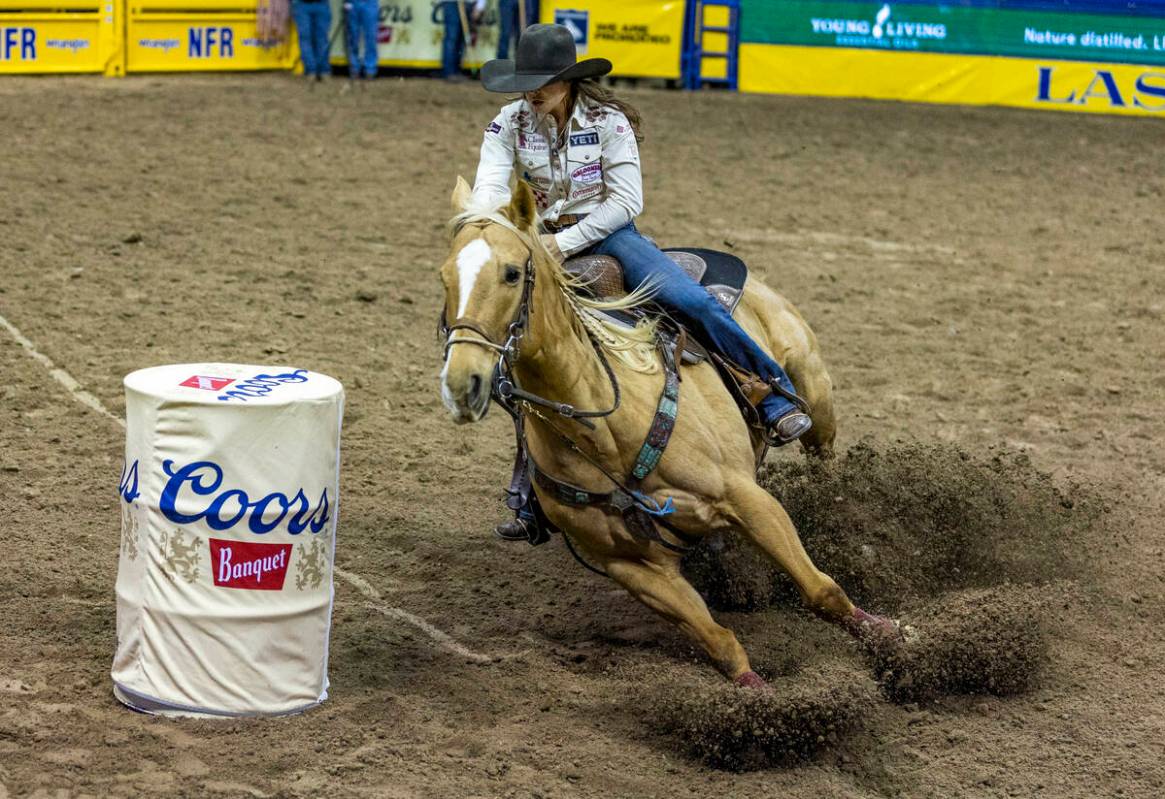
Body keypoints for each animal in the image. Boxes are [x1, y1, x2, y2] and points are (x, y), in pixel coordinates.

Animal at [438, 180, 899, 689]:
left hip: (813, 389)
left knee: (823, 458)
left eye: (512, 273)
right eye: (444, 279)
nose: (462, 381)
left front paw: (890, 639)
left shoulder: (747, 499)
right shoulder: (633, 568)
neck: (605, 430)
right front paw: (758, 695)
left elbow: (821, 591)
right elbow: (718, 641)